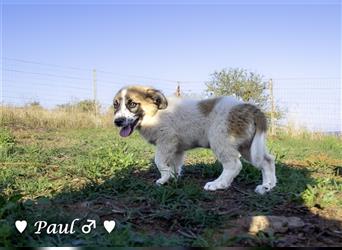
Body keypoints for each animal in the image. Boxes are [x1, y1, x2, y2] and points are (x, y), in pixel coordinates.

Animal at [113, 85, 276, 194]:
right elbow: (175, 165)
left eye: (132, 104)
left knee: (234, 165)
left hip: (220, 140)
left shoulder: (166, 140)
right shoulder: (177, 148)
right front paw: (173, 178)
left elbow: (159, 162)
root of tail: (250, 108)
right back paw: (268, 186)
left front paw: (164, 178)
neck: (154, 114)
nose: (117, 121)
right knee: (267, 160)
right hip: (248, 146)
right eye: (115, 105)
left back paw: (218, 184)